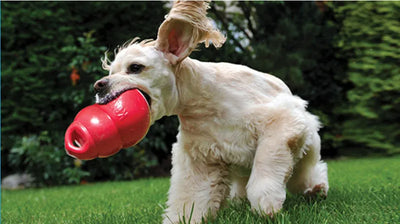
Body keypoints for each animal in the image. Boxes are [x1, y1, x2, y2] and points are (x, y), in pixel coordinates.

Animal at [94, 0, 328, 223]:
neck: (201, 104)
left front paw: (266, 203)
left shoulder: (282, 121)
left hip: (307, 143)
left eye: (135, 68)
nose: (99, 85)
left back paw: (315, 189)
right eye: (111, 71)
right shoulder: (200, 160)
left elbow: (266, 160)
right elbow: (190, 197)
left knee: (304, 173)